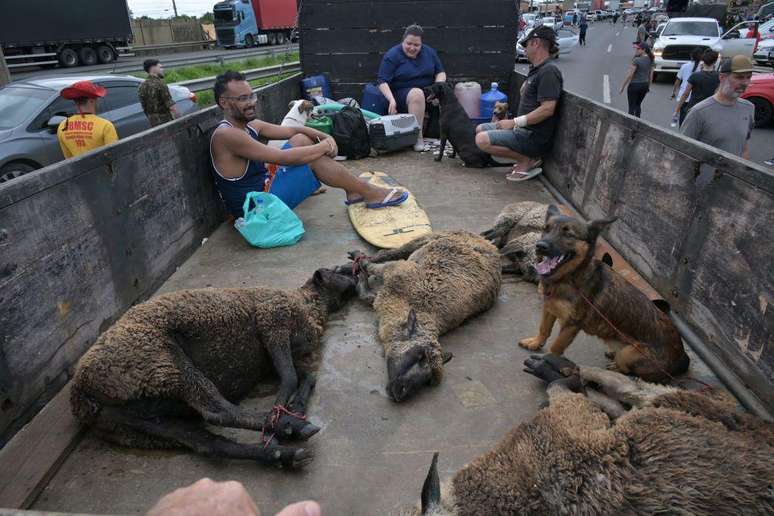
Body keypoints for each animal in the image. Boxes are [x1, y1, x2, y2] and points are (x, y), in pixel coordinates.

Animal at [69, 268, 358, 470]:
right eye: (341, 271)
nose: (356, 272)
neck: (309, 303)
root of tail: (80, 393)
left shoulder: (284, 353)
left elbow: (306, 376)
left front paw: (294, 406)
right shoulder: (272, 321)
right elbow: (289, 377)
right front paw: (284, 413)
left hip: (138, 426)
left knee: (209, 444)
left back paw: (280, 453)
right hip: (164, 363)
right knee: (218, 411)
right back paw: (289, 428)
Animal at [350, 231, 504, 404]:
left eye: (428, 380)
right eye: (419, 355)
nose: (401, 391)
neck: (422, 308)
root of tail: (487, 242)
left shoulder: (386, 298)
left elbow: (368, 295)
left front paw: (360, 279)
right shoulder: (395, 270)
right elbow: (370, 268)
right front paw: (360, 269)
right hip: (427, 238)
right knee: (387, 253)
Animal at [520, 206, 692, 382]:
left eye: (569, 234)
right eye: (545, 229)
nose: (540, 246)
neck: (569, 277)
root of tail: (682, 356)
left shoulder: (571, 325)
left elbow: (555, 348)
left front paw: (547, 363)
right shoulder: (549, 307)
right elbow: (544, 329)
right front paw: (535, 342)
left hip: (629, 353)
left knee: (626, 369)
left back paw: (615, 367)